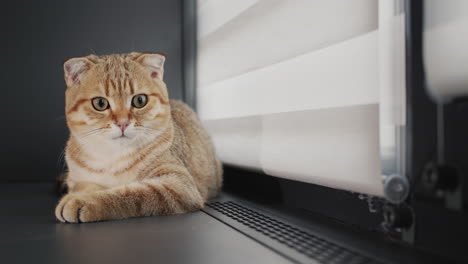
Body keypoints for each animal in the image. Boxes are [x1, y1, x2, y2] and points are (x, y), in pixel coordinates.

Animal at [54, 52, 223, 223]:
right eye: (100, 103)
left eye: (140, 100)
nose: (123, 123)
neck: (113, 157)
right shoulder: (77, 179)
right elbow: (85, 185)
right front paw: (80, 194)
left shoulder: (178, 185)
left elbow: (128, 194)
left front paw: (83, 200)